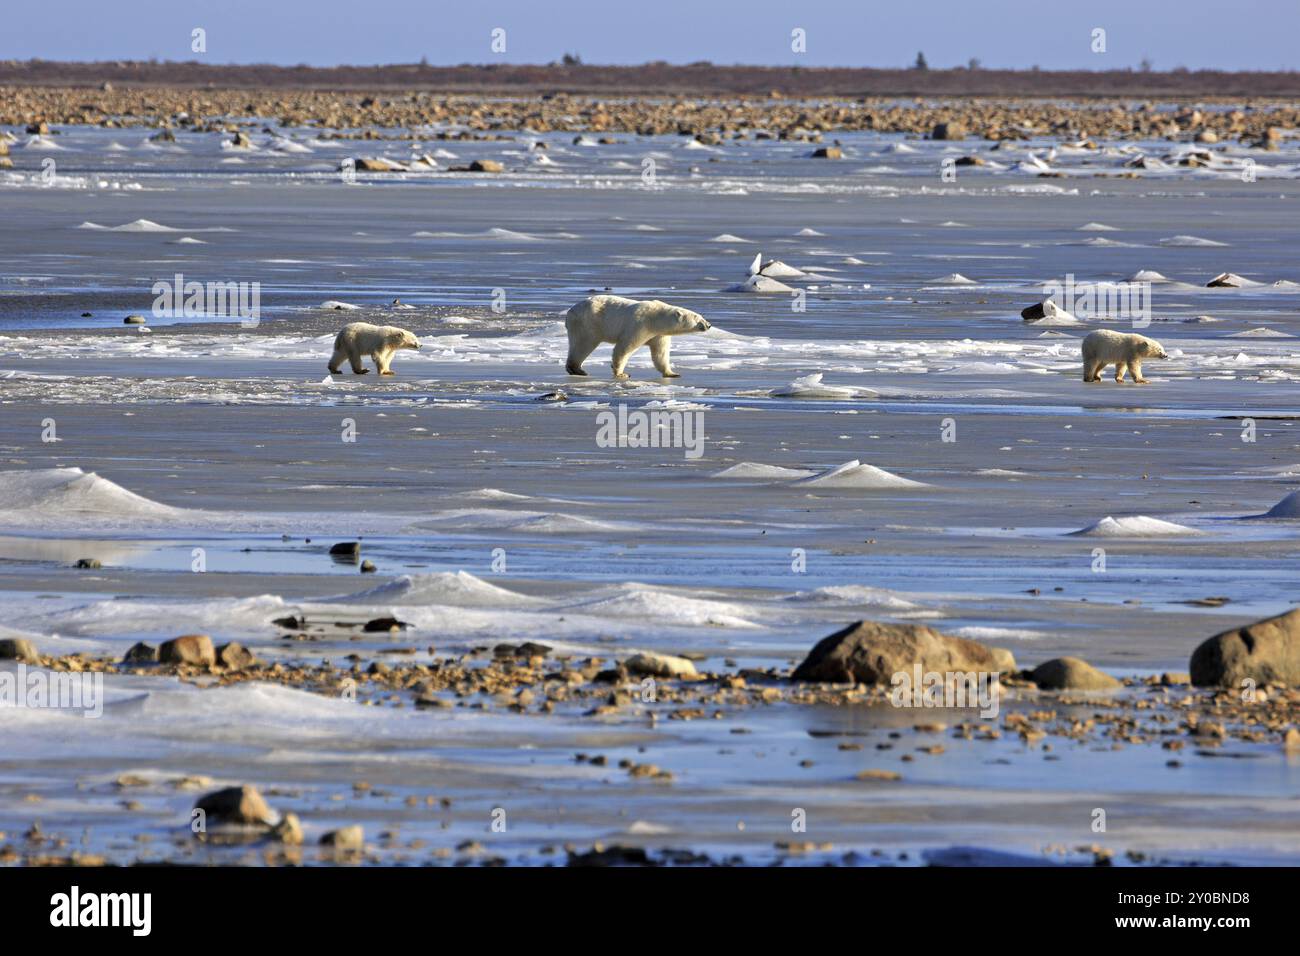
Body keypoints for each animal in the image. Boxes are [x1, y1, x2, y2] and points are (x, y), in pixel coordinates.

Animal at [564, 295, 711, 379]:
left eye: (701, 316)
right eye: (697, 317)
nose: (709, 325)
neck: (656, 318)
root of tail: (570, 311)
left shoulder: (659, 334)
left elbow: (660, 354)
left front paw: (672, 373)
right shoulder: (640, 325)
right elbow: (625, 347)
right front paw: (621, 373)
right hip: (588, 322)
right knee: (583, 344)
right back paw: (578, 369)